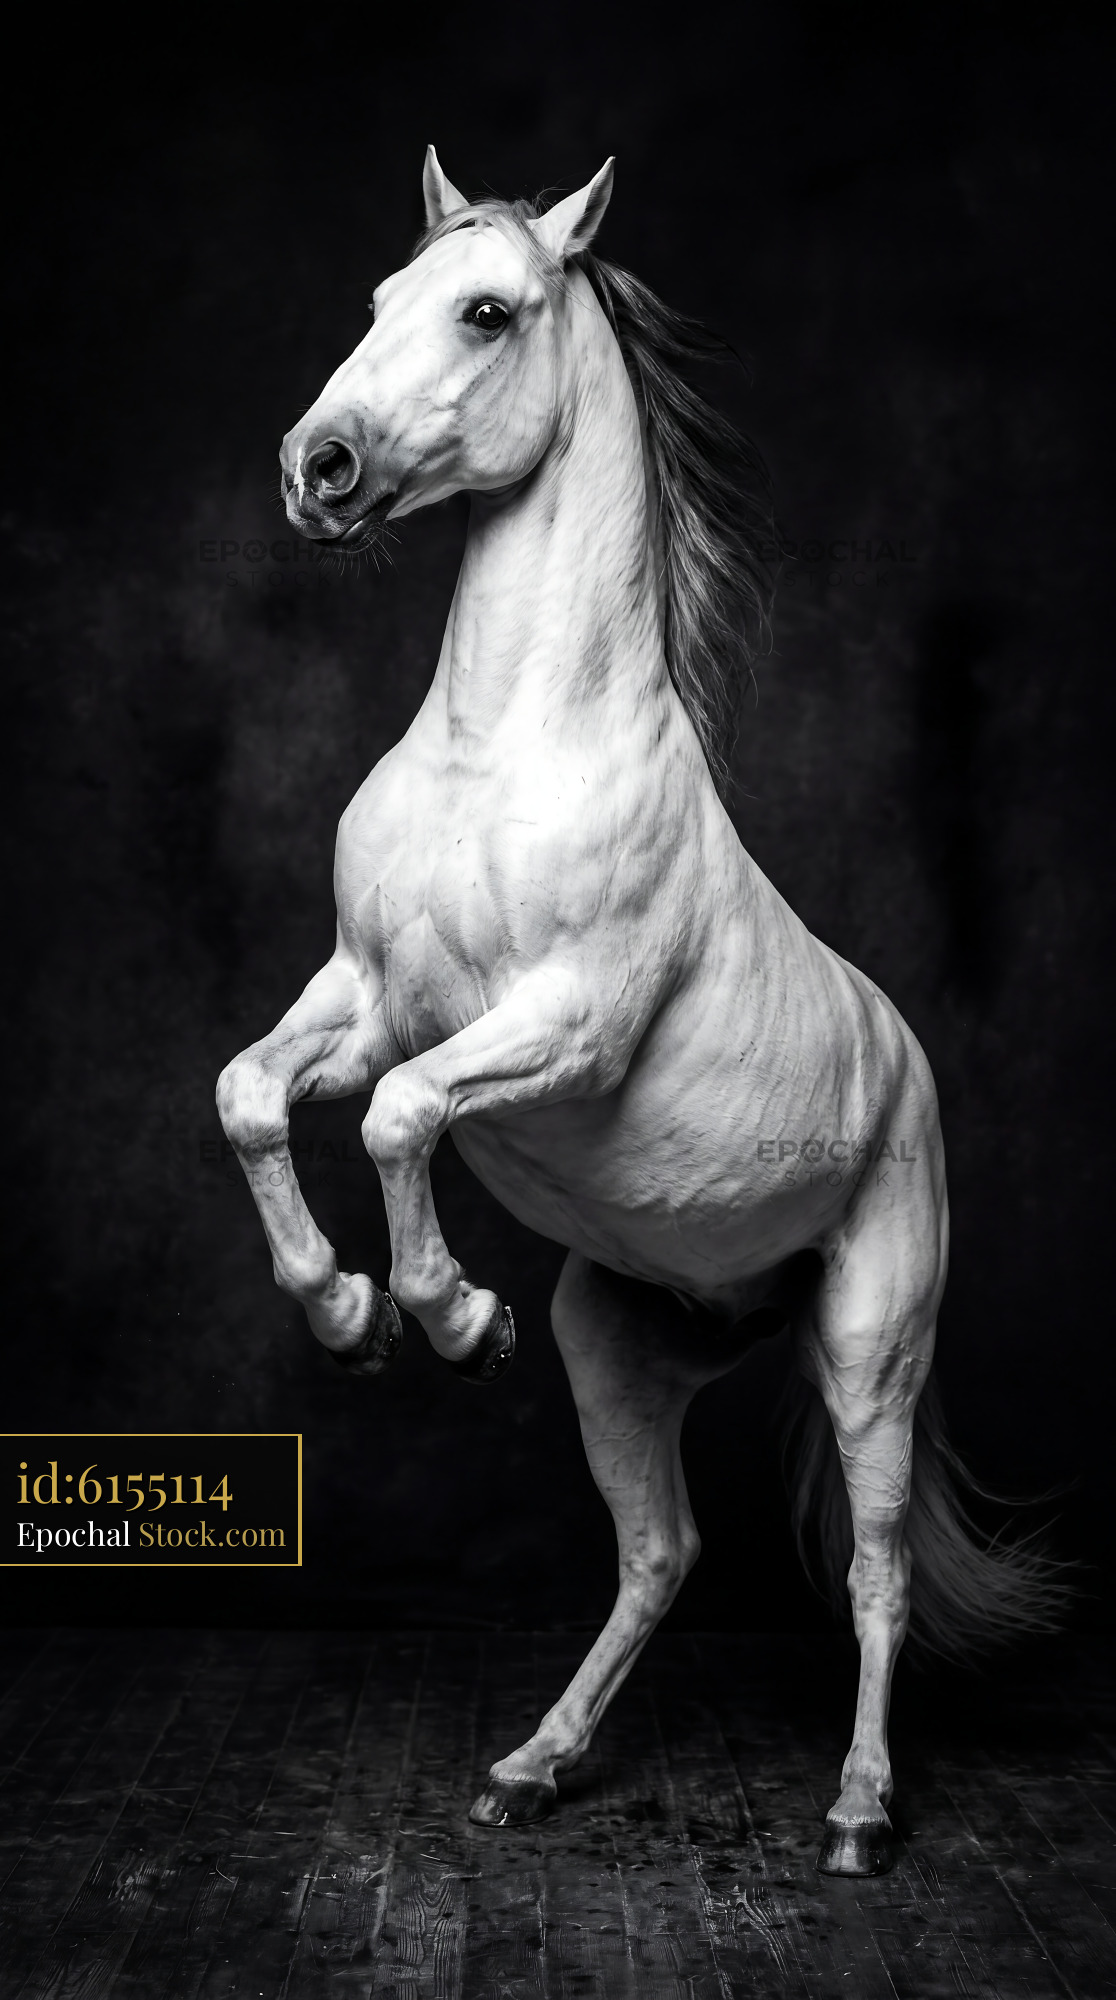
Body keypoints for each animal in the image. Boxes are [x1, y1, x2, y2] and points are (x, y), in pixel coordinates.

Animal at [217, 149, 1057, 1876]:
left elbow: (400, 1116)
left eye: (486, 311)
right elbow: (254, 1094)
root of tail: (903, 1055)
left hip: (871, 1347)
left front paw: (449, 1318)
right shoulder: (365, 995)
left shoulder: (561, 1028)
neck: (504, 746)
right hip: (619, 1348)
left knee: (876, 1566)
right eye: (378, 301)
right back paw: (534, 1766)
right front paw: (346, 1313)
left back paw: (860, 1812)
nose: (318, 468)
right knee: (663, 1552)